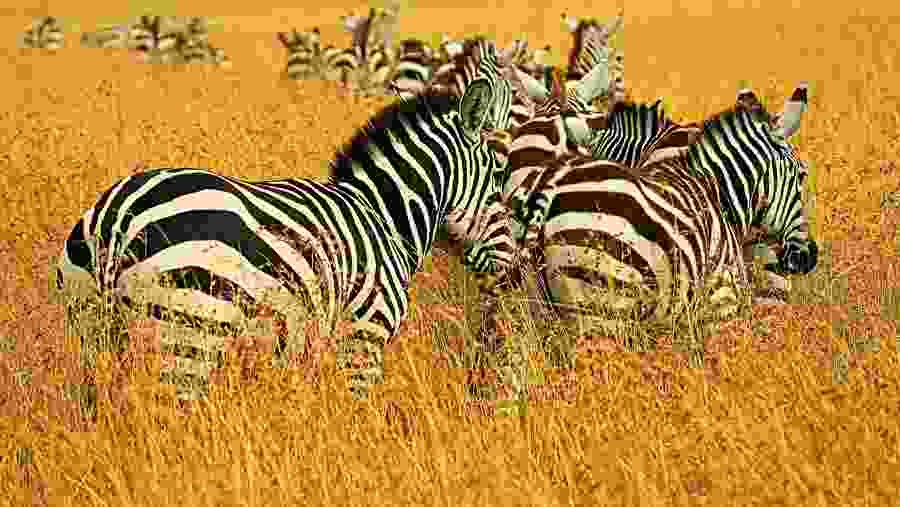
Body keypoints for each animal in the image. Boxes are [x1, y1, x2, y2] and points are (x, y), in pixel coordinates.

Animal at [55, 40, 517, 415]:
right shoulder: (365, 334)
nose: (511, 263)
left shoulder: (306, 347)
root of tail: (118, 214)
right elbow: (356, 412)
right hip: (191, 332)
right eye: (498, 175)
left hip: (93, 335)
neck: (385, 215)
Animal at [489, 83, 816, 342]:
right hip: (603, 305)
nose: (807, 258)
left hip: (541, 306)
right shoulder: (721, 301)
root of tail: (552, 183)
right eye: (802, 176)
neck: (717, 191)